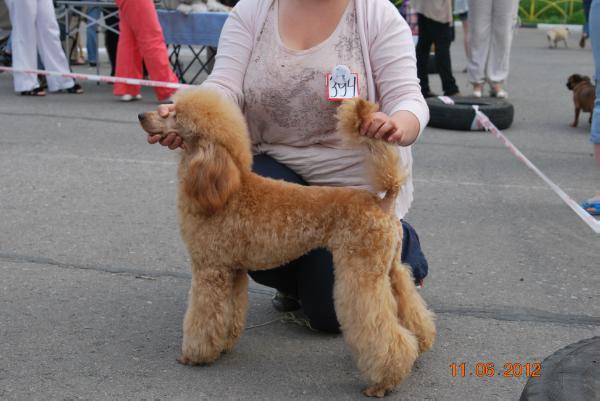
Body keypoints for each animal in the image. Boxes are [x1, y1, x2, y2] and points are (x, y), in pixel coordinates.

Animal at [138, 86, 434, 396]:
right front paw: (224, 344)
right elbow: (229, 312)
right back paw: (421, 343)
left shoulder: (210, 270)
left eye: (174, 115)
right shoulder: (232, 269)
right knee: (408, 301)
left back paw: (383, 381)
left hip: (361, 271)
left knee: (379, 325)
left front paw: (195, 355)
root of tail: (382, 202)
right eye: (169, 108)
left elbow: (203, 315)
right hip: (389, 268)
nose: (142, 116)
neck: (226, 189)